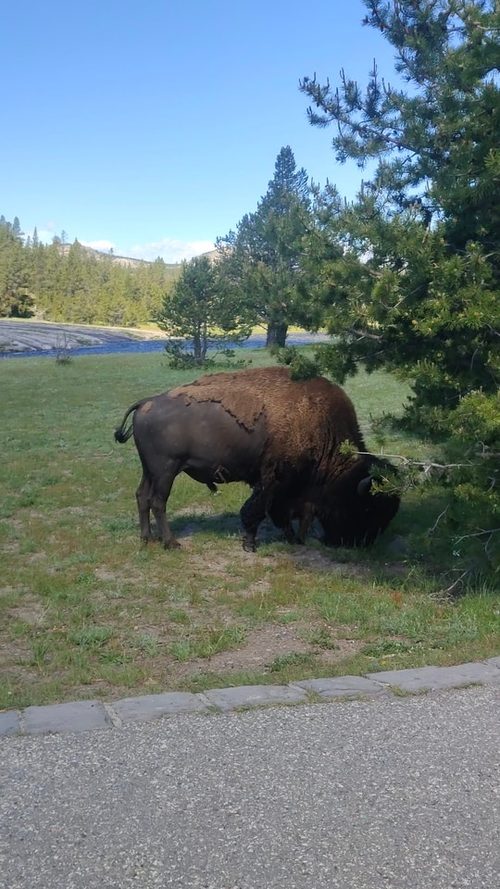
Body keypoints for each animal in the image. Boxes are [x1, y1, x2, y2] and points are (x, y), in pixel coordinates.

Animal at [114, 366, 399, 550]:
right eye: (366, 507)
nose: (360, 543)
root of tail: (146, 402)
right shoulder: (273, 479)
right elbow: (261, 510)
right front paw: (250, 544)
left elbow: (288, 513)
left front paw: (293, 539)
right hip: (166, 469)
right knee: (158, 502)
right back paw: (171, 543)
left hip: (150, 470)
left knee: (142, 496)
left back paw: (146, 539)